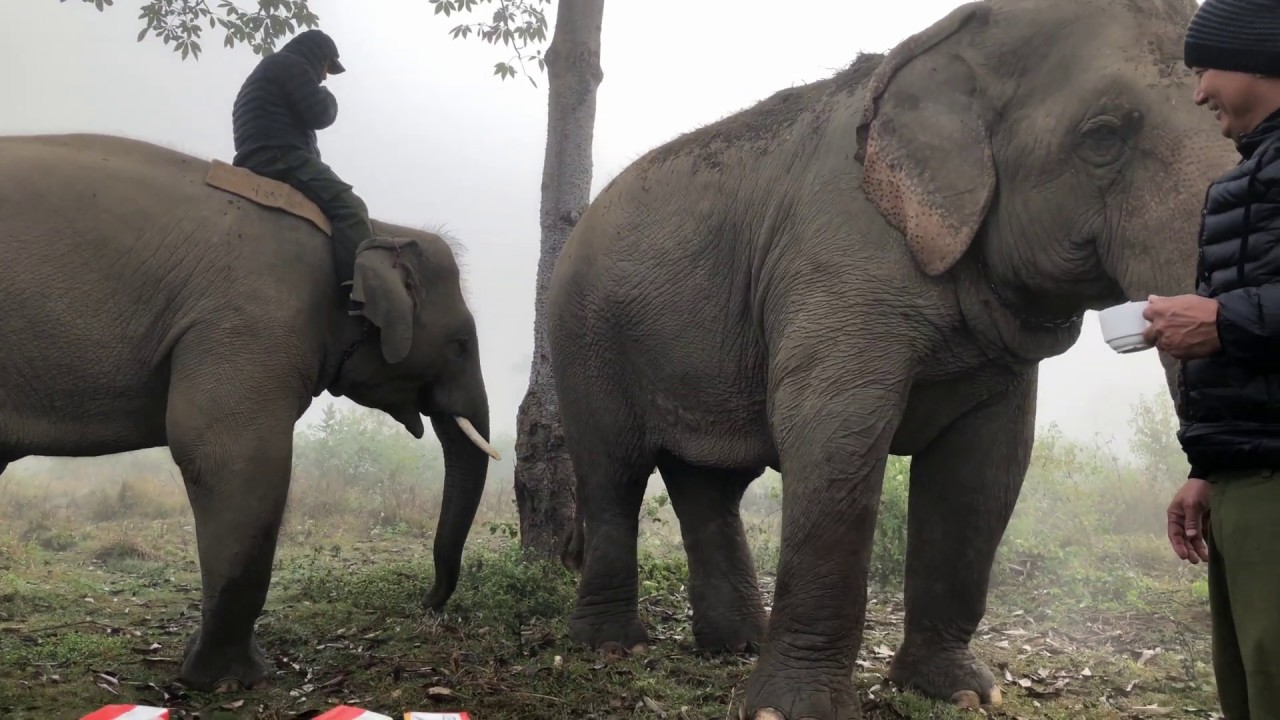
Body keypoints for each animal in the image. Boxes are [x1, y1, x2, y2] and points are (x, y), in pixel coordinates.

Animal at [0, 132, 499, 691]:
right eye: (460, 344)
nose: (427, 601)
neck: (377, 228)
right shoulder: (252, 316)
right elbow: (230, 458)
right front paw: (230, 678)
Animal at [545, 0, 1234, 718]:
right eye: (1103, 137)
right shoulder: (840, 263)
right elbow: (833, 440)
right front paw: (792, 711)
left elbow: (984, 468)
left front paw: (960, 691)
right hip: (583, 332)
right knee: (613, 470)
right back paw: (612, 645)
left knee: (708, 484)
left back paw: (736, 644)